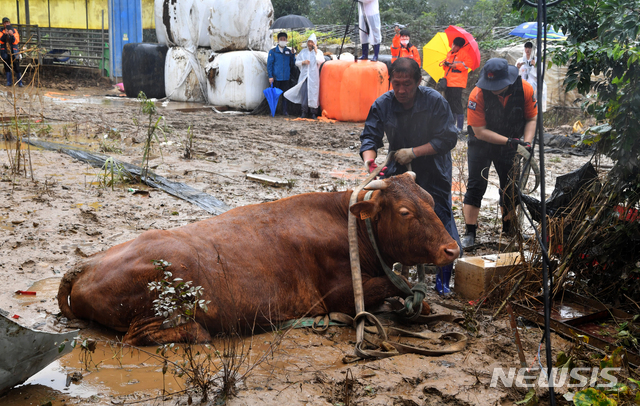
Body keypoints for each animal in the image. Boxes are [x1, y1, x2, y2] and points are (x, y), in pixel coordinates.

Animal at [57, 173, 458, 344]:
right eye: (405, 212)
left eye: (430, 200)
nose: (452, 249)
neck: (349, 227)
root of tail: (85, 265)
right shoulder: (338, 296)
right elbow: (390, 286)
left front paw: (424, 306)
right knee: (140, 334)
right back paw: (198, 331)